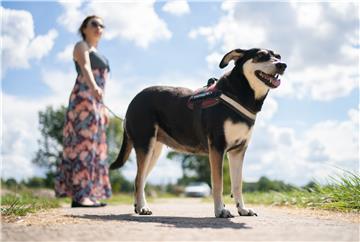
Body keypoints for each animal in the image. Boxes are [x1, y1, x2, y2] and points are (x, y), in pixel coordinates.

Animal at [109, 47, 286, 217]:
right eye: (261, 55)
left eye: (278, 56)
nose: (282, 65)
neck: (240, 94)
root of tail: (133, 100)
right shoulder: (217, 147)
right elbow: (218, 183)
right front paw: (220, 210)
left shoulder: (238, 151)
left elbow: (237, 184)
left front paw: (242, 209)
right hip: (145, 145)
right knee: (139, 179)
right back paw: (142, 207)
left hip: (153, 151)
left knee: (140, 179)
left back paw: (139, 206)